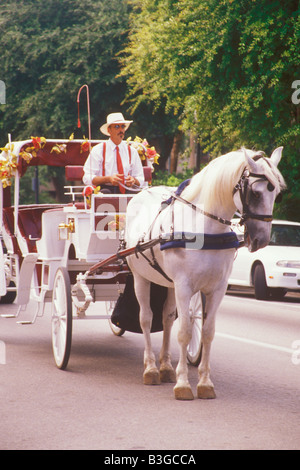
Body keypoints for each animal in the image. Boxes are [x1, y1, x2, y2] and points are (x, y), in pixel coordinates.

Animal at [124, 148, 286, 400]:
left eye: (277, 193)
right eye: (256, 193)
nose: (261, 240)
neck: (205, 229)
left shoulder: (217, 288)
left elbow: (207, 332)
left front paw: (204, 382)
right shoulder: (184, 286)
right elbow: (184, 331)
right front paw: (183, 383)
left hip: (168, 284)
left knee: (166, 318)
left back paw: (165, 367)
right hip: (141, 278)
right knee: (146, 318)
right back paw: (150, 368)